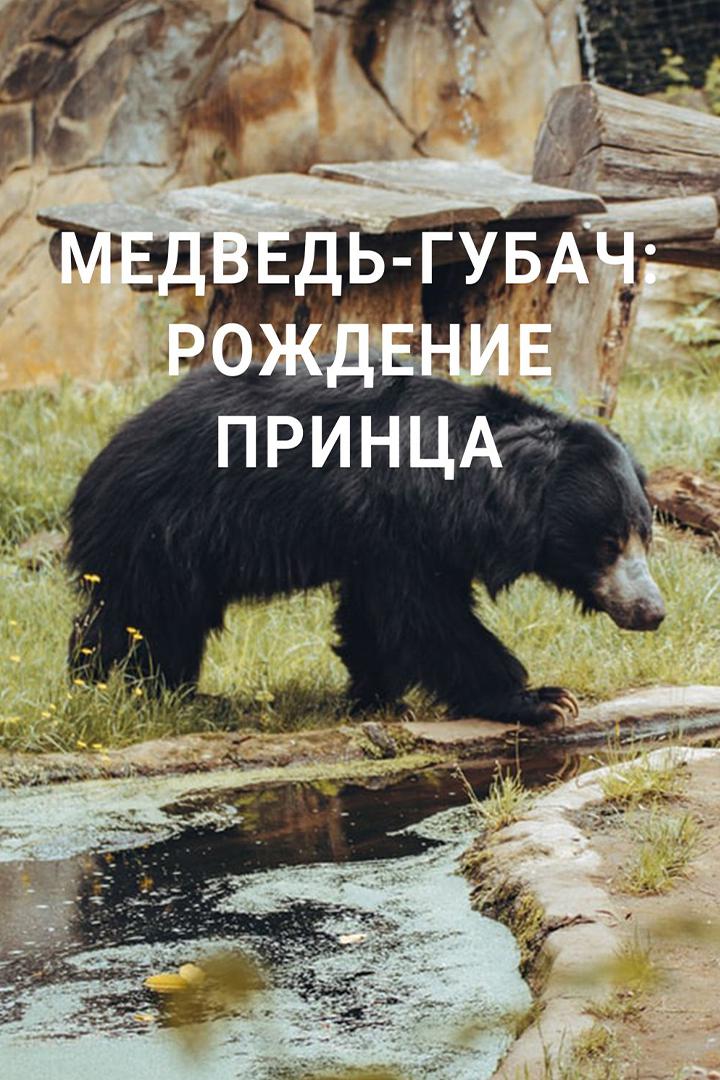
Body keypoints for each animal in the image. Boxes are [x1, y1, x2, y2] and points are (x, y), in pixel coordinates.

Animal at [67, 361, 665, 724]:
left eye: (644, 534)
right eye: (607, 543)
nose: (652, 612)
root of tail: (104, 458)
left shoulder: (401, 537)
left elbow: (372, 617)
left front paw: (376, 698)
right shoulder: (399, 521)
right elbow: (424, 615)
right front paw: (541, 699)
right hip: (163, 531)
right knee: (145, 619)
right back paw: (123, 690)